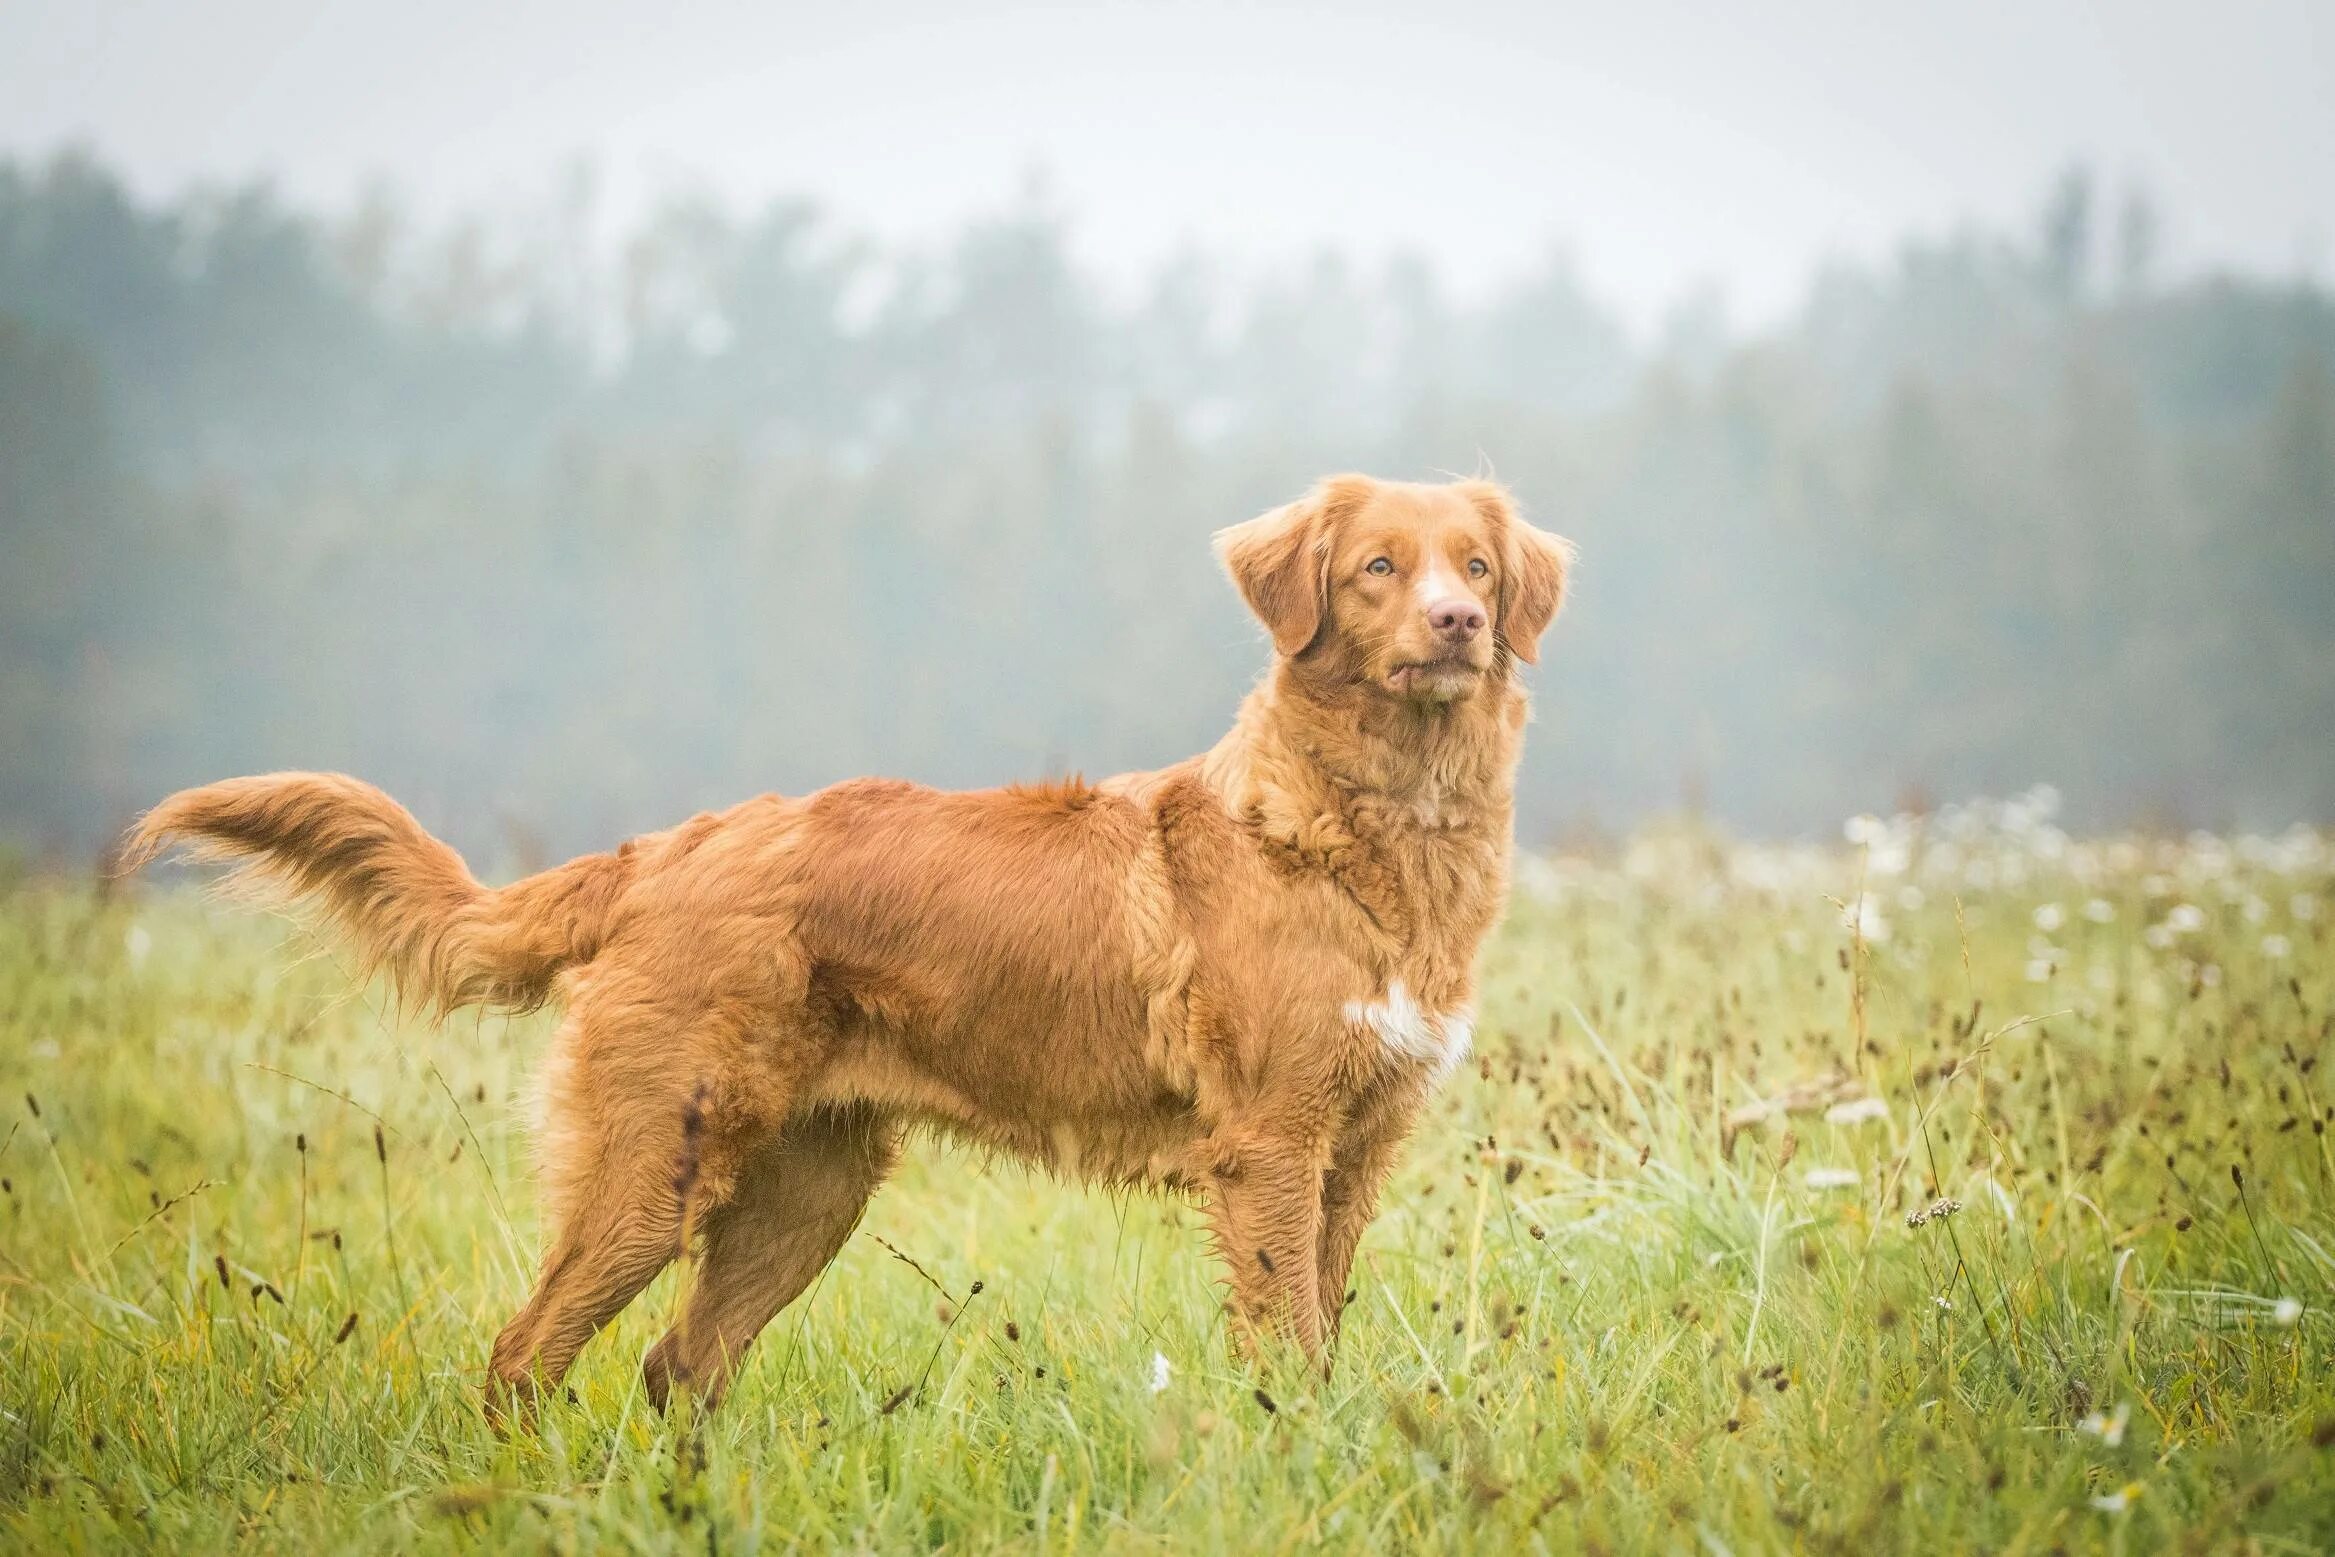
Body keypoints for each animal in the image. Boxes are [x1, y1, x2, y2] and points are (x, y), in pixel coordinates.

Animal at [123, 471, 1569, 1409]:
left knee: (678, 1368)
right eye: (1376, 567)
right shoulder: (1268, 1142)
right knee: (527, 1355)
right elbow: (1286, 1339)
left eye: (1474, 566)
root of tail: (664, 851)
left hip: (801, 1192)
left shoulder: (1357, 1147)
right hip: (653, 1168)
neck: (1370, 825)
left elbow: (1323, 1324)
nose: (1457, 624)